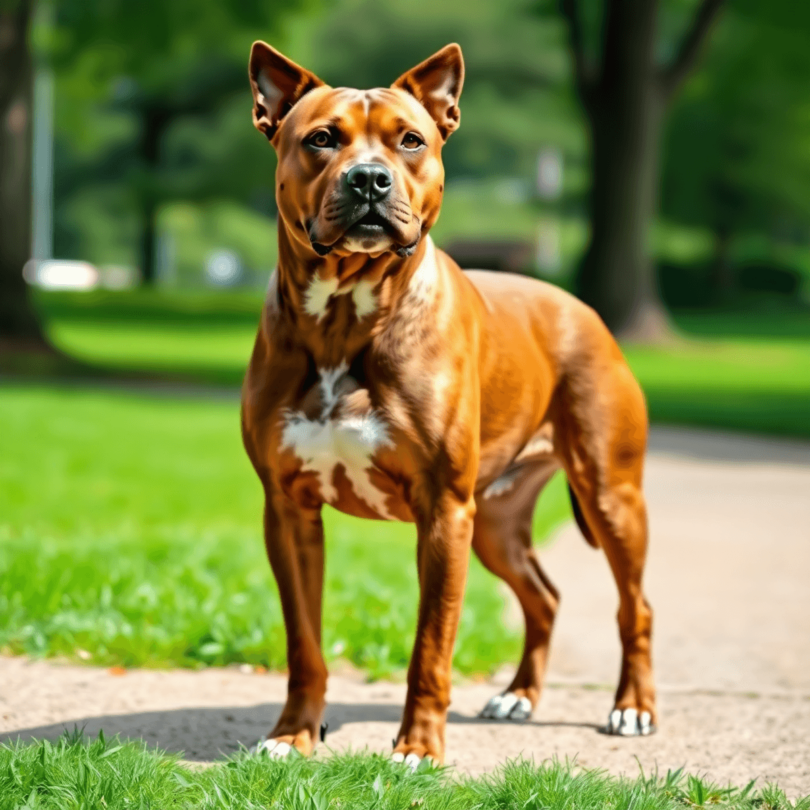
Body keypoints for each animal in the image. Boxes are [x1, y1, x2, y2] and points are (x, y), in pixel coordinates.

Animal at [241, 42, 656, 764]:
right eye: (321, 139)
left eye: (410, 140)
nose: (370, 180)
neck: (346, 317)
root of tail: (584, 311)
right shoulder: (288, 509)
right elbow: (305, 644)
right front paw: (294, 733)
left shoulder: (442, 512)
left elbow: (431, 645)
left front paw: (418, 749)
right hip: (495, 520)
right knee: (544, 597)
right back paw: (519, 696)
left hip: (610, 495)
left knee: (636, 606)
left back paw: (631, 707)